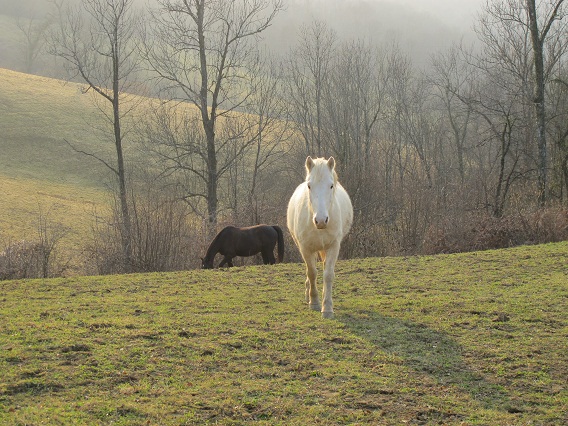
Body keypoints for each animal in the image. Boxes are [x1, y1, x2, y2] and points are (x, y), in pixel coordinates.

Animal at [286, 156, 352, 316]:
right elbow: (311, 273)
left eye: (331, 186)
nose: (321, 220)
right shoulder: (305, 248)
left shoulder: (334, 246)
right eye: (309, 186)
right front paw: (314, 301)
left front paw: (327, 307)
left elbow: (327, 275)